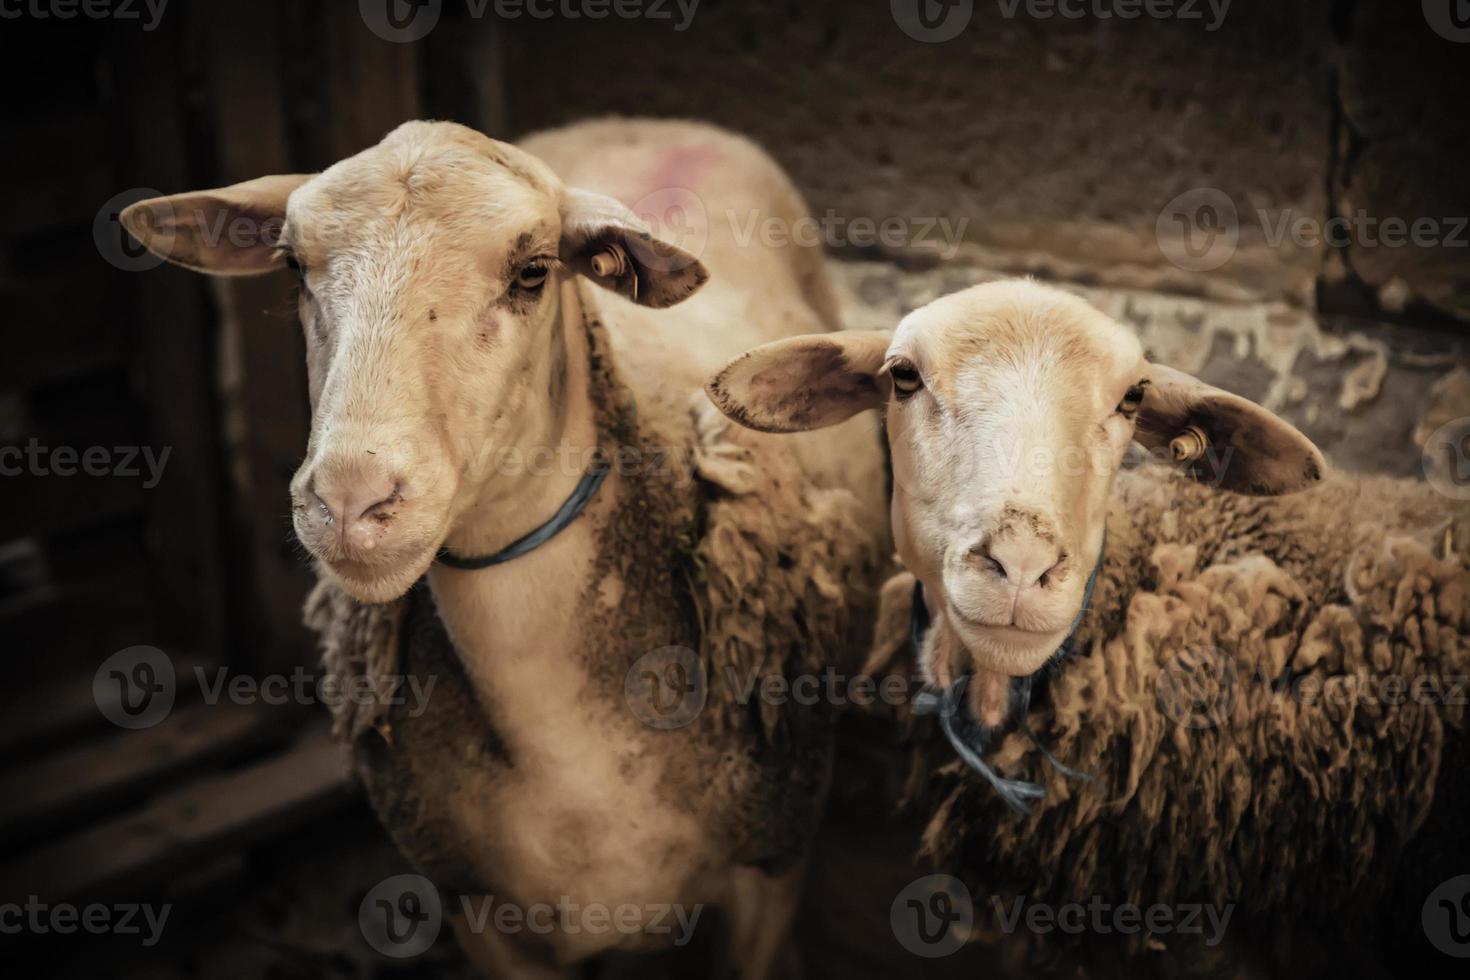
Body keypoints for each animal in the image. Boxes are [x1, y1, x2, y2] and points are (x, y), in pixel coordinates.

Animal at [120, 119, 882, 975]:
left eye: (533, 271)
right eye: (291, 265)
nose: (350, 502)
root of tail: (642, 123)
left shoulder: (771, 867)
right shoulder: (478, 908)